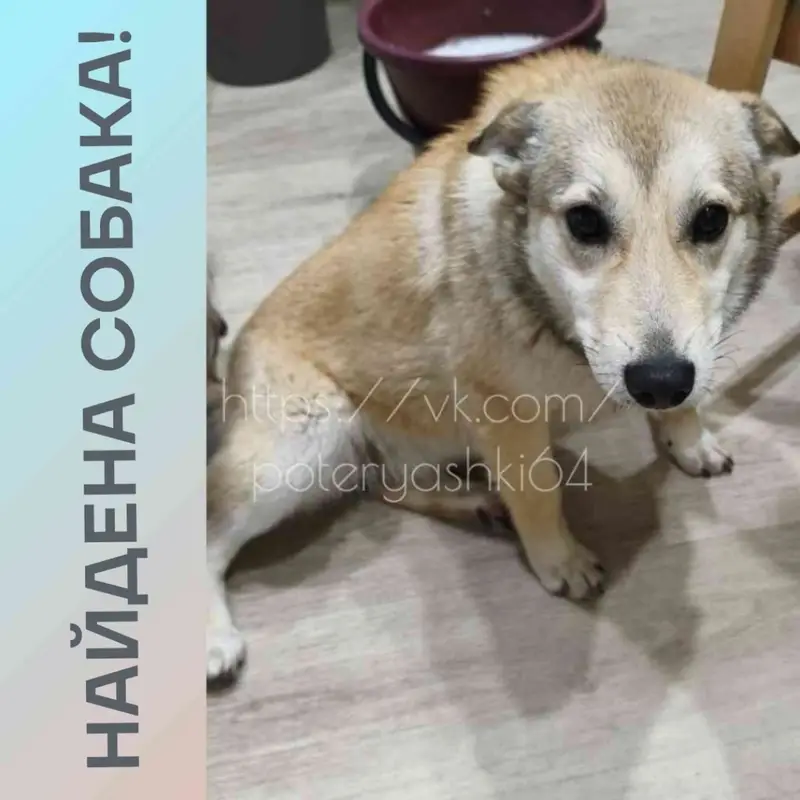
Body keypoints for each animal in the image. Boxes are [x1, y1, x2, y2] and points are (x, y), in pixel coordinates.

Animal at [206, 49, 799, 685]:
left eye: (711, 220)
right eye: (585, 221)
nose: (657, 384)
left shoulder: (693, 347)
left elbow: (691, 396)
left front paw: (689, 441)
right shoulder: (506, 411)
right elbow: (539, 492)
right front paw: (559, 561)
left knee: (394, 486)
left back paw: (475, 503)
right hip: (304, 445)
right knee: (212, 527)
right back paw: (215, 638)